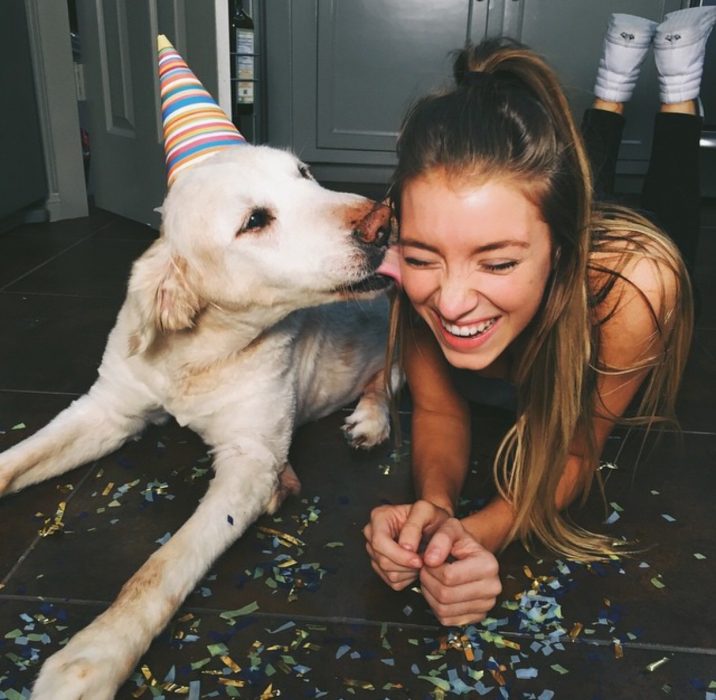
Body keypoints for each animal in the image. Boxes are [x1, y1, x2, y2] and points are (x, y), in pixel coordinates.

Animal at [0, 145, 398, 696]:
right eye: (254, 221)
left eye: (305, 174)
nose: (384, 221)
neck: (198, 354)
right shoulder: (107, 410)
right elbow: (17, 459)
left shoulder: (249, 461)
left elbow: (161, 567)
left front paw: (94, 657)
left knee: (387, 380)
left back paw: (370, 420)